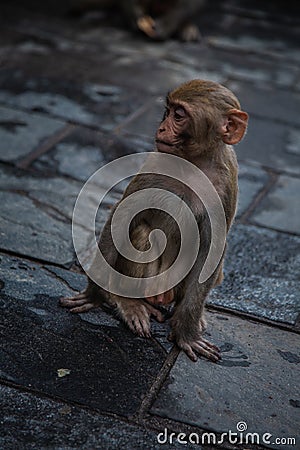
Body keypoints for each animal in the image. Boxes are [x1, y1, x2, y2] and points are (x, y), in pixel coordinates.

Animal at [59, 80, 247, 362]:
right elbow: (123, 215)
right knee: (142, 234)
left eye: (178, 115)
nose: (161, 128)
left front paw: (187, 333)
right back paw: (130, 303)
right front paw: (94, 296)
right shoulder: (156, 163)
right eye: (167, 112)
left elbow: (213, 247)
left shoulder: (226, 183)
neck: (194, 163)